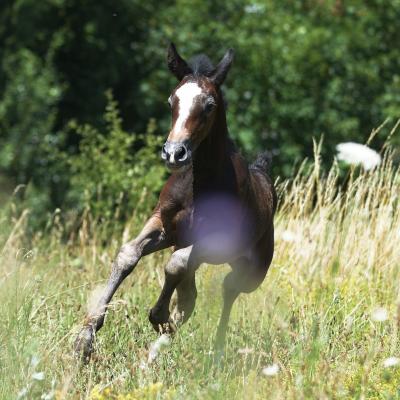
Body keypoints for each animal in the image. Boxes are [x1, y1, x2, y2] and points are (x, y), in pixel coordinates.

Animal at [74, 43, 276, 360]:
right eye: (172, 101)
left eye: (209, 105)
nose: (174, 153)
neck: (199, 185)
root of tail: (265, 178)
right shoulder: (166, 224)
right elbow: (128, 254)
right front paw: (85, 338)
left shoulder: (214, 238)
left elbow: (176, 264)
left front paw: (158, 314)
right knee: (189, 297)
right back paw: (154, 355)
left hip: (252, 272)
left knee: (228, 289)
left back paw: (212, 350)